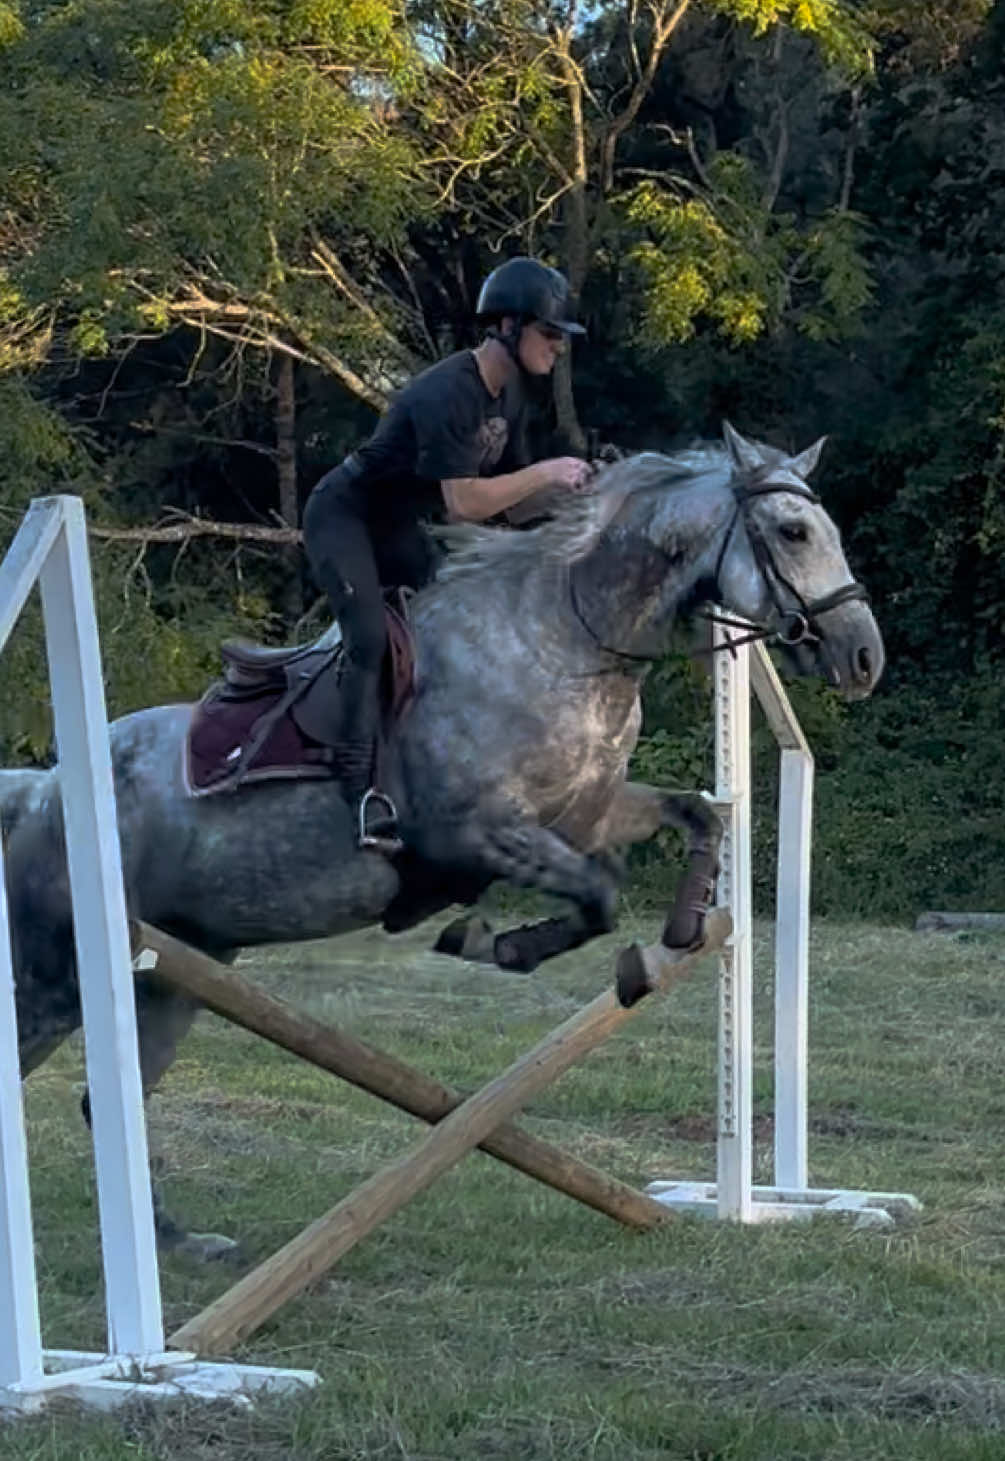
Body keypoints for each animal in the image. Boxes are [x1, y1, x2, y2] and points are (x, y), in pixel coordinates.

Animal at [7, 423, 883, 1256]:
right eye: (792, 530)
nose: (863, 657)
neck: (564, 644)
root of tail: (42, 792)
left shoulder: (588, 813)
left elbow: (696, 820)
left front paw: (676, 929)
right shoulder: (472, 832)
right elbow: (597, 889)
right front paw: (501, 943)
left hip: (176, 973)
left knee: (113, 1097)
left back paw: (185, 1244)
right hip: (58, 974)